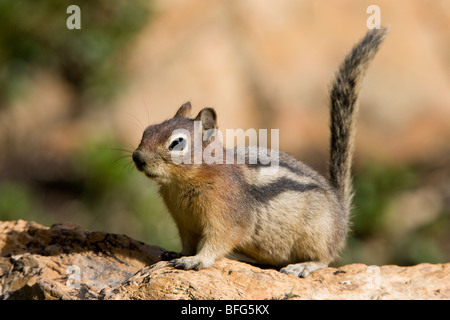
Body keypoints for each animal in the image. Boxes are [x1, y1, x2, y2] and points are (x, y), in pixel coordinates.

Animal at [133, 28, 386, 278]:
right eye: (147, 130)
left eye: (177, 143)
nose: (138, 158)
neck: (181, 184)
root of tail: (341, 211)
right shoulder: (184, 222)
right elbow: (187, 242)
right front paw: (177, 254)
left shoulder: (227, 216)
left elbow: (218, 241)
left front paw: (196, 260)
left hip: (317, 233)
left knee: (325, 258)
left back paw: (302, 266)